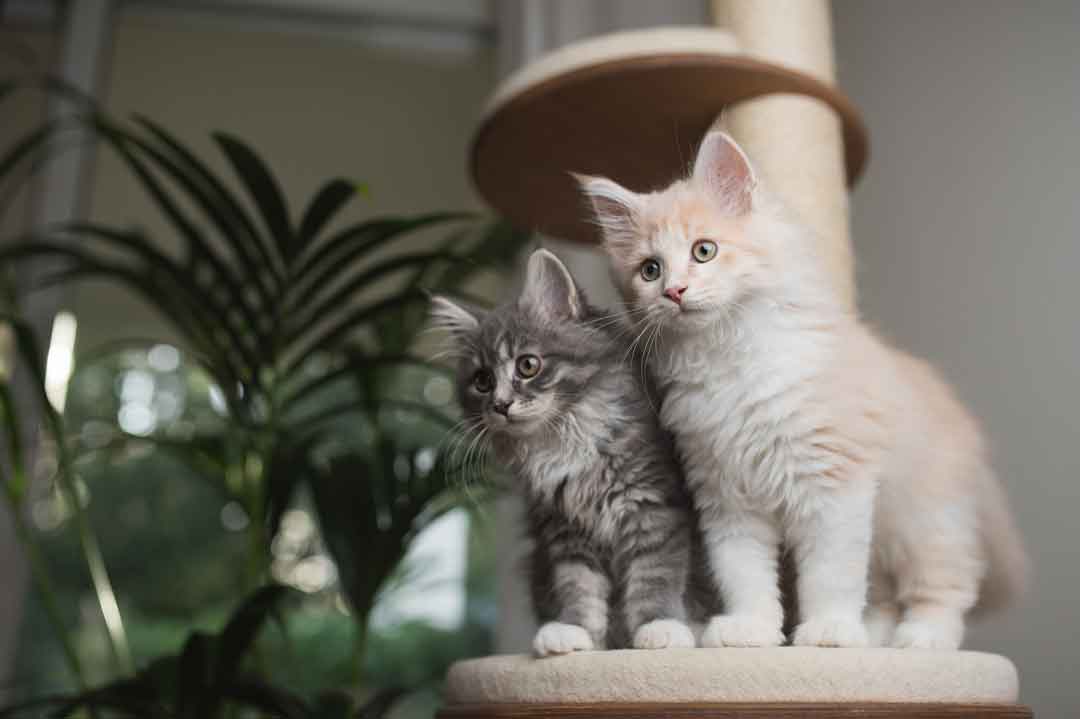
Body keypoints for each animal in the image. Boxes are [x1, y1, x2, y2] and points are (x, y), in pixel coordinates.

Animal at [425, 248, 695, 656]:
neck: (563, 438)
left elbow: (654, 573)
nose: (500, 405)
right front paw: (574, 631)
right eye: (482, 381)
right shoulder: (563, 527)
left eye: (528, 365)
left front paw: (660, 626)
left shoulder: (655, 506)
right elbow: (578, 584)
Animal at [583, 130, 1028, 647]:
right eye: (650, 270)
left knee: (948, 584)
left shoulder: (833, 486)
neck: (728, 361)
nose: (674, 292)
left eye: (704, 251)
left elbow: (830, 574)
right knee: (885, 592)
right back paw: (873, 633)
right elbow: (743, 575)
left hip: (924, 521)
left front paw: (827, 631)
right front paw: (751, 629)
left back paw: (921, 638)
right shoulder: (726, 497)